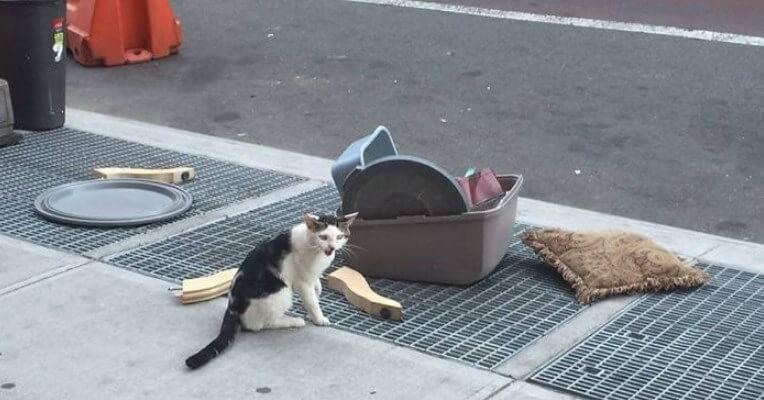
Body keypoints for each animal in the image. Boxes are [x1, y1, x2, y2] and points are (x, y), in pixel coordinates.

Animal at [188, 211, 362, 370]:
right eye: (323, 237)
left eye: (339, 236)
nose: (332, 247)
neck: (315, 249)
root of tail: (233, 307)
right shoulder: (302, 282)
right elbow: (312, 302)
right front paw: (319, 319)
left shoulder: (312, 276)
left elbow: (317, 286)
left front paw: (317, 292)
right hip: (282, 292)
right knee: (260, 325)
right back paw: (293, 321)